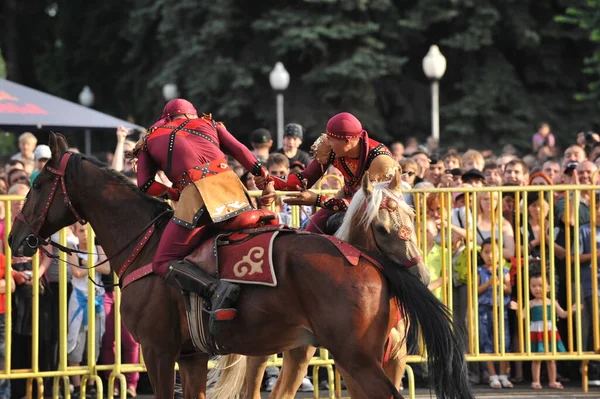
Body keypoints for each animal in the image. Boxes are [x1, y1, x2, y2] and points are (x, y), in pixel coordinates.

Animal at [8, 134, 474, 399]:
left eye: (38, 184)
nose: (16, 238)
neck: (145, 244)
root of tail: (372, 263)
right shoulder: (193, 357)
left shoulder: (159, 352)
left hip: (356, 358)